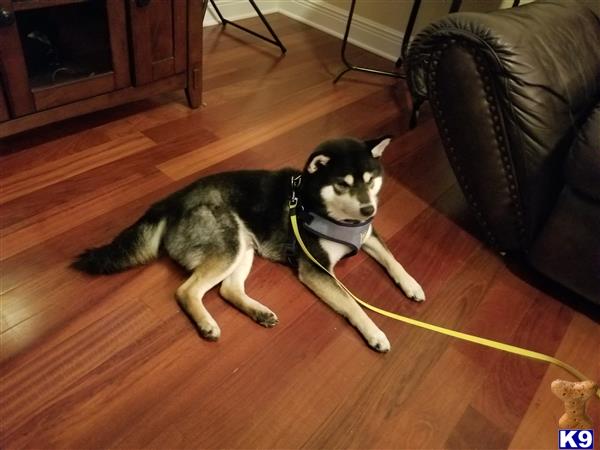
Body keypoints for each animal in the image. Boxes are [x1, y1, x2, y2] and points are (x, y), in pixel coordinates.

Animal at [72, 137, 424, 352]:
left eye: (370, 180)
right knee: (187, 290)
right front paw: (375, 333)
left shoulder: (370, 236)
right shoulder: (317, 270)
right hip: (228, 245)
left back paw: (259, 313)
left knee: (228, 290)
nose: (368, 210)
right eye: (342, 184)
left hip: (244, 246)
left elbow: (393, 259)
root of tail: (170, 201)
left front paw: (412, 284)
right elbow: (352, 303)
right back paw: (207, 324)